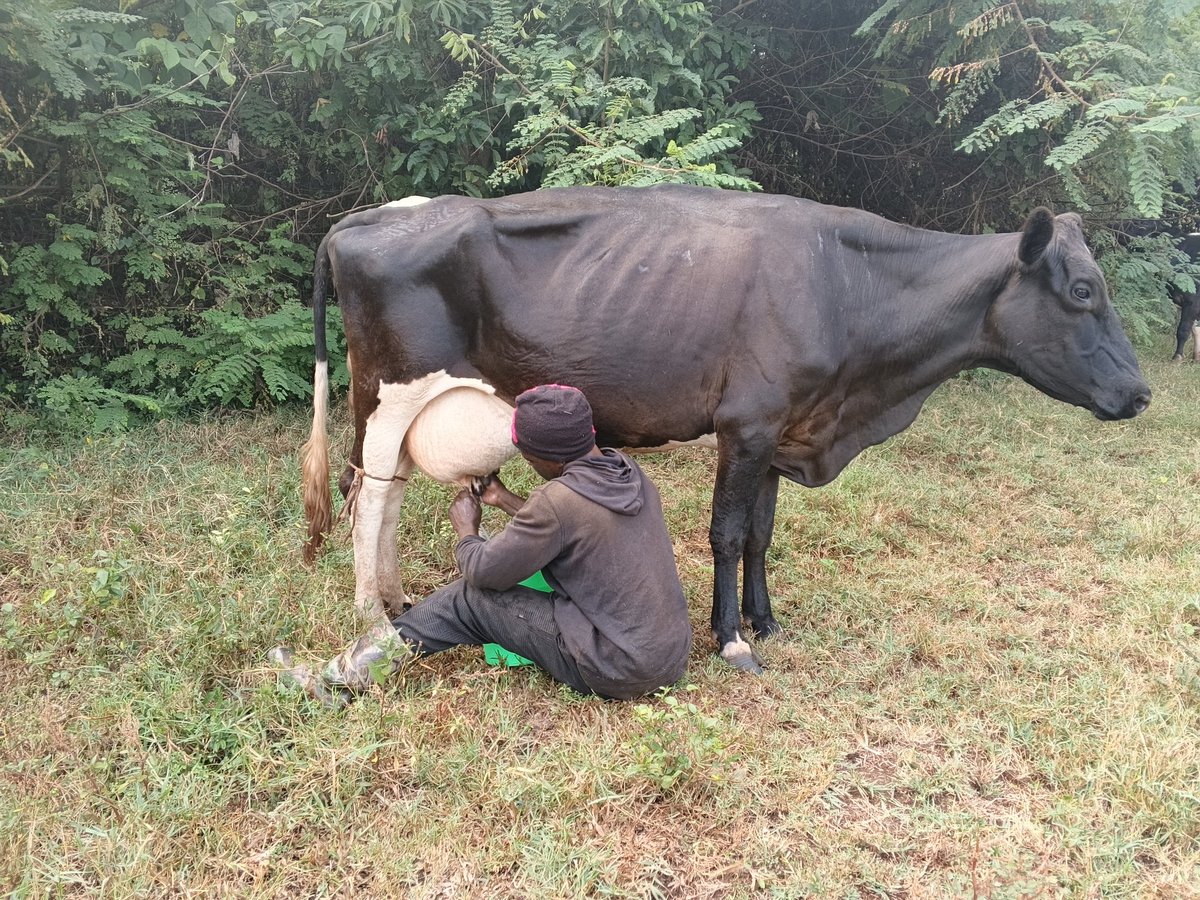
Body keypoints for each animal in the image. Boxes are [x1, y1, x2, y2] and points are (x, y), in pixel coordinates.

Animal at [301, 185, 1151, 674]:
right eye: (1083, 290)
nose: (1140, 392)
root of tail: (357, 222)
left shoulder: (781, 428)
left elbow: (764, 532)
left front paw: (765, 620)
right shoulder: (745, 423)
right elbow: (726, 531)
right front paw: (732, 637)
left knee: (388, 491)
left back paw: (397, 597)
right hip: (390, 392)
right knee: (369, 497)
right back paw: (372, 613)